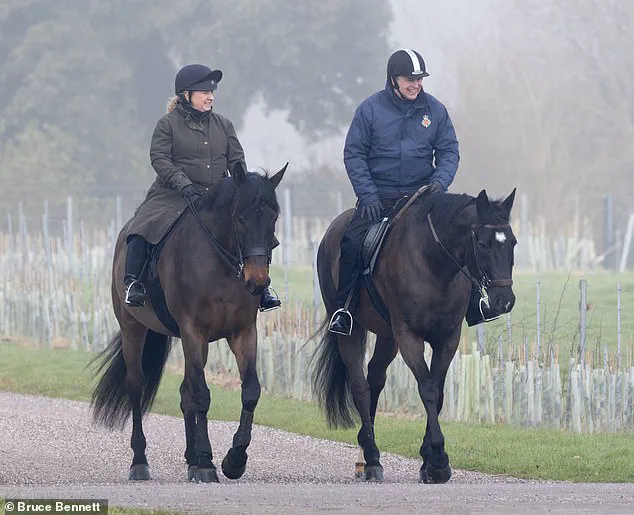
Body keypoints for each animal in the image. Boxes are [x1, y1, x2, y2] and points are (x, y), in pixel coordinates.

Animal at [90, 164, 286, 484]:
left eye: (273, 218)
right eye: (240, 218)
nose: (258, 281)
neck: (222, 267)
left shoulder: (243, 333)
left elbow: (250, 391)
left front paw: (234, 460)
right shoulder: (193, 332)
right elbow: (202, 396)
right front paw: (207, 463)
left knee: (185, 392)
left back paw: (191, 457)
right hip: (134, 329)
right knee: (137, 386)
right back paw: (140, 462)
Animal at [310, 188, 512, 484]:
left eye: (513, 243)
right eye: (484, 244)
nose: (505, 301)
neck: (433, 264)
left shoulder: (447, 339)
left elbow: (438, 392)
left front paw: (427, 462)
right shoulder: (409, 336)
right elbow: (427, 389)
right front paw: (438, 461)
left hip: (387, 338)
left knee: (375, 379)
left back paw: (364, 455)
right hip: (352, 332)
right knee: (360, 387)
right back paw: (372, 458)